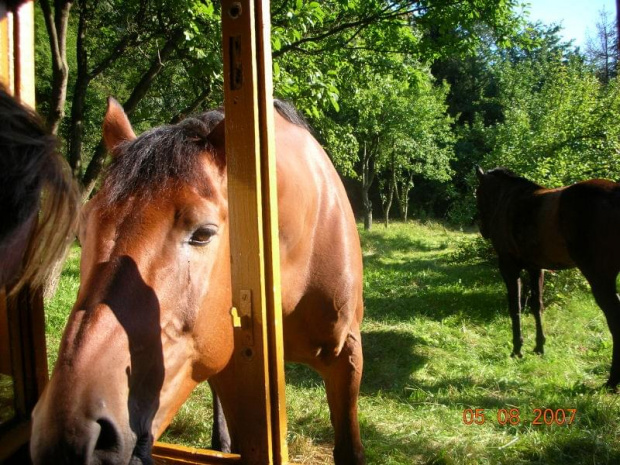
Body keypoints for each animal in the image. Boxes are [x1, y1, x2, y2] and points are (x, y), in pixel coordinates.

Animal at [478, 166, 620, 388]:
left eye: (478, 193)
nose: (483, 229)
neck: (508, 198)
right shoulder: (536, 268)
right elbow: (537, 306)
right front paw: (539, 347)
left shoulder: (509, 267)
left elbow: (515, 307)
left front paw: (517, 349)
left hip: (600, 278)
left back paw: (612, 381)